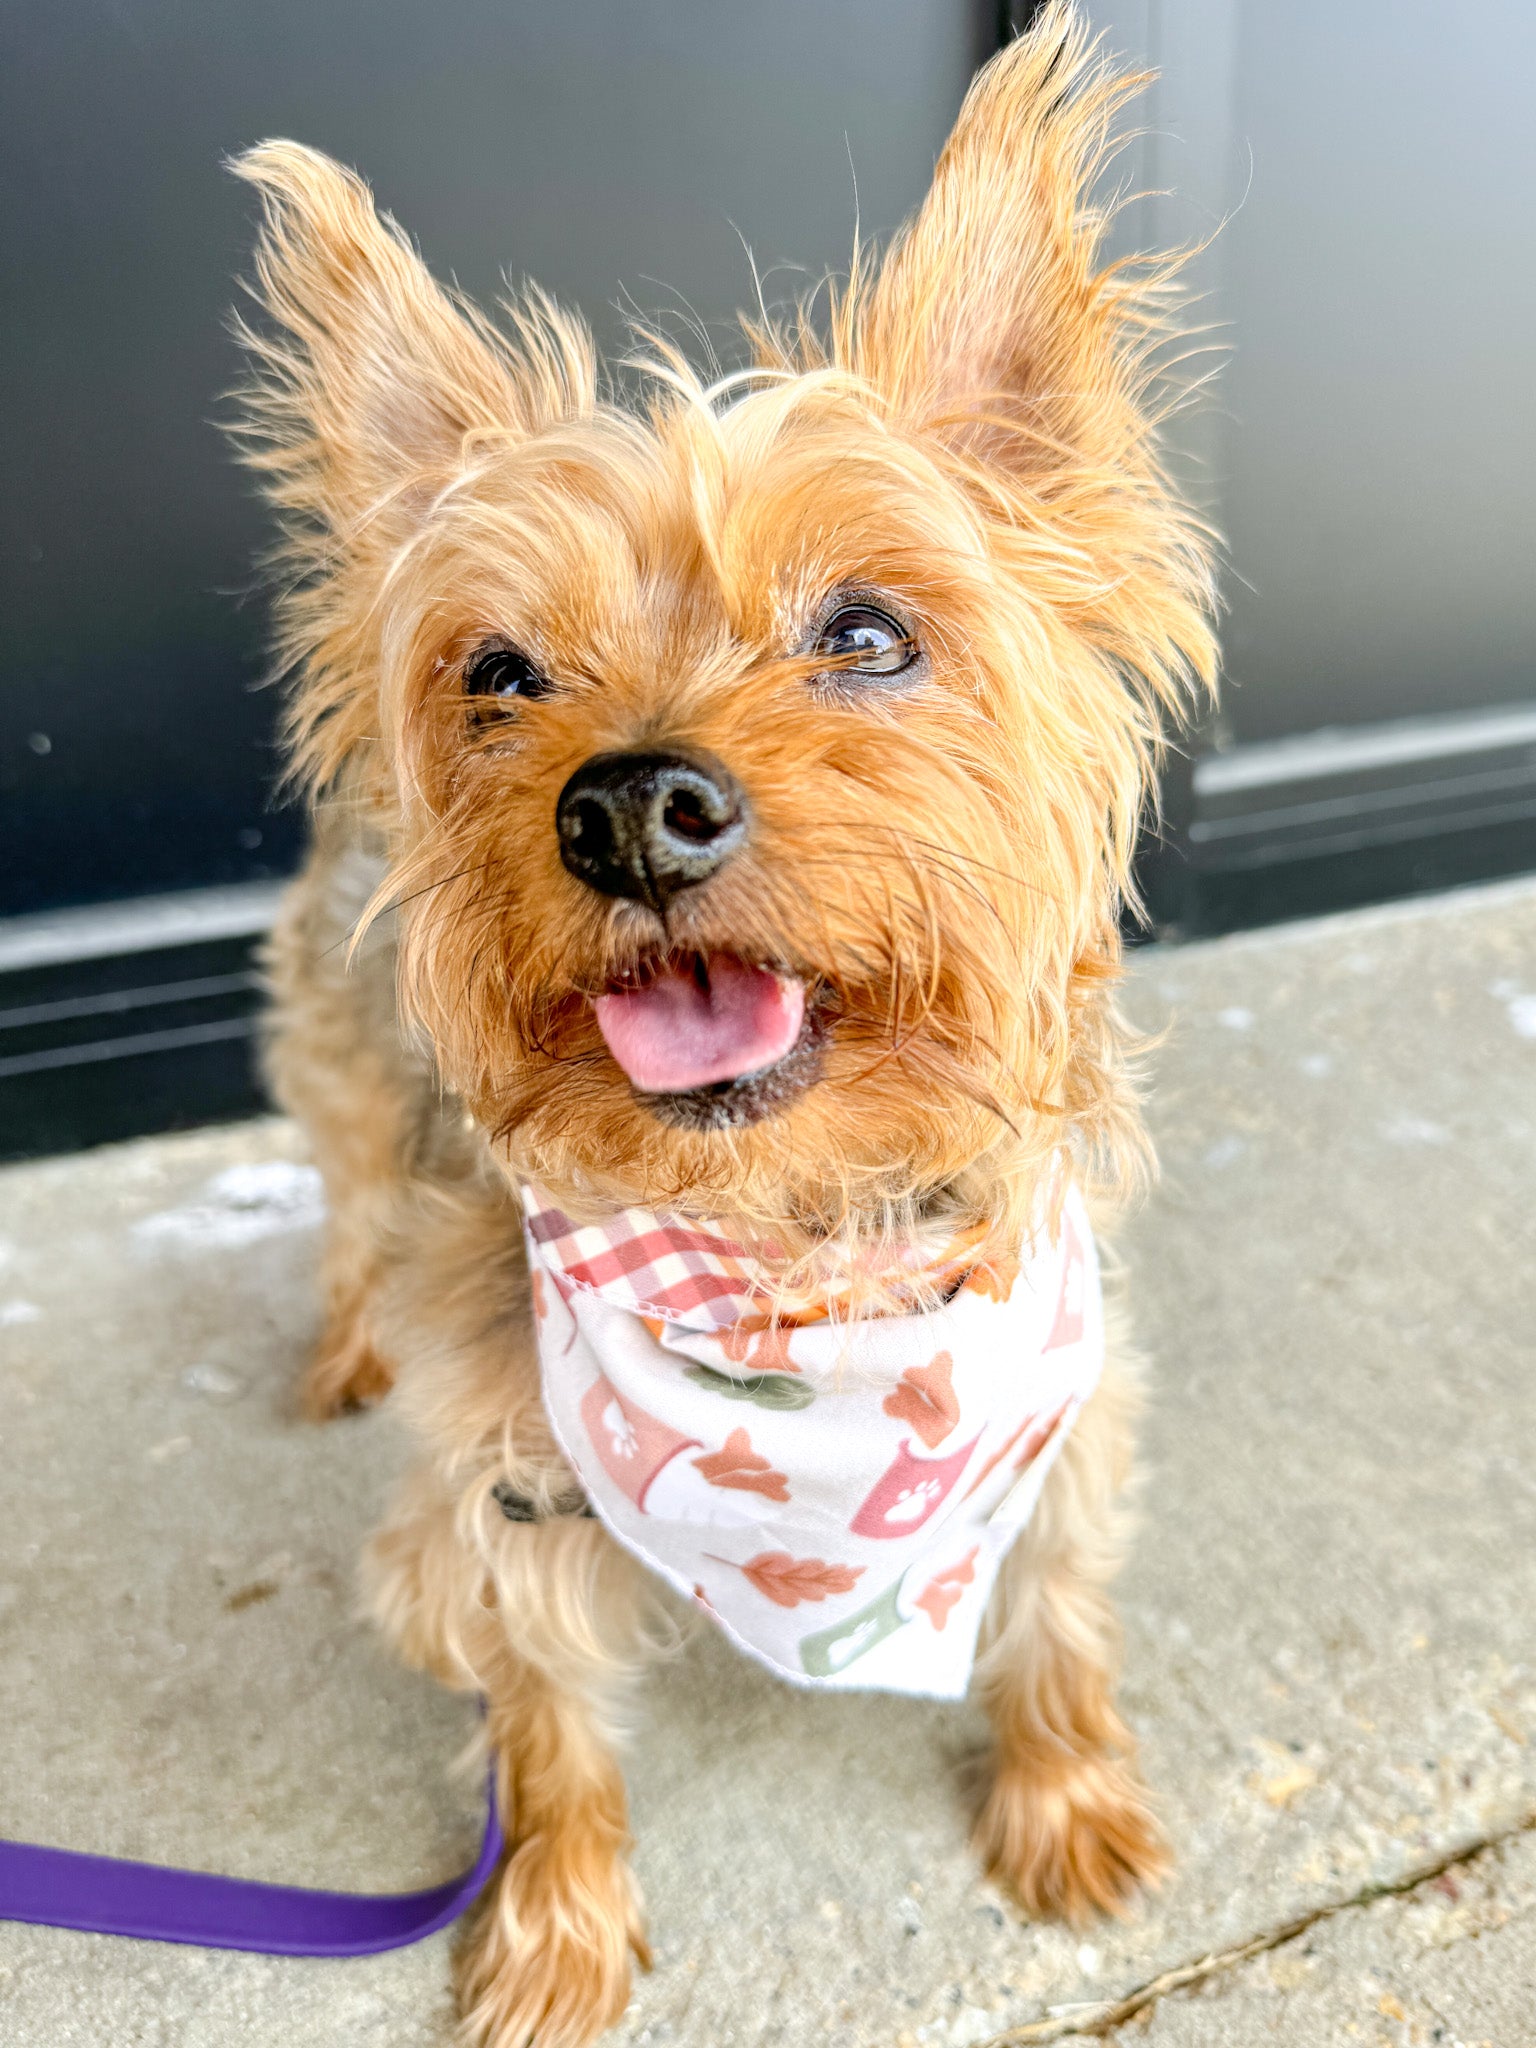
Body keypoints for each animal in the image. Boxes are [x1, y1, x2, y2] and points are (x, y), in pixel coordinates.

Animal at [228, 8, 1212, 2039]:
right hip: (346, 1075)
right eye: (497, 673)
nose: (627, 807)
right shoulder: (498, 1496)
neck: (789, 1253)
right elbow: (541, 1730)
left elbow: (1057, 1611)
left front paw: (1065, 1792)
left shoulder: (1062, 1416)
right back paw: (344, 1341)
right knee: (354, 1207)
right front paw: (550, 1930)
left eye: (866, 632)